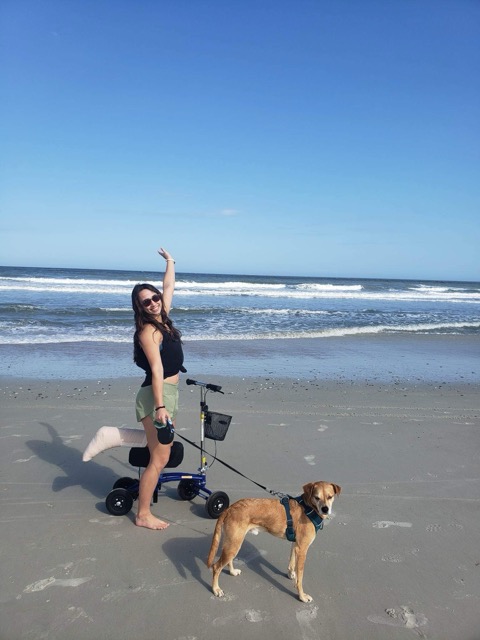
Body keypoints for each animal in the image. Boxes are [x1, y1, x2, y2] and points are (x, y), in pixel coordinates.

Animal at [206, 482, 342, 604]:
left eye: (330, 496)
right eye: (316, 497)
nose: (325, 509)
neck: (309, 508)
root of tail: (229, 509)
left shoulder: (296, 545)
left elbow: (292, 563)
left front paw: (291, 574)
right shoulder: (302, 549)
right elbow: (300, 578)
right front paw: (302, 596)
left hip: (233, 542)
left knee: (228, 560)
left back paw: (232, 572)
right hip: (233, 544)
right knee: (216, 567)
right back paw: (216, 589)